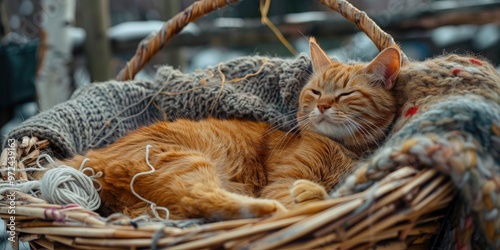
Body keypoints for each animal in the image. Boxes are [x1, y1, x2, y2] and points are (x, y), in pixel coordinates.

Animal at [56, 37, 400, 221]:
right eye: (315, 92)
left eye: (346, 94)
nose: (323, 106)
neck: (344, 149)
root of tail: (87, 157)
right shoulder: (282, 181)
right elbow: (308, 197)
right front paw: (309, 194)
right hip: (186, 162)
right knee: (202, 201)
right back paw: (267, 207)